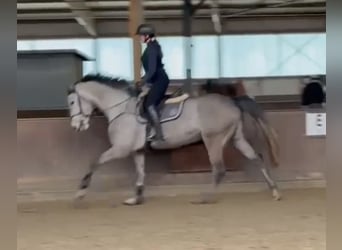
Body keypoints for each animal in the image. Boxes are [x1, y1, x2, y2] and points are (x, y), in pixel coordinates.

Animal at [67, 73, 280, 205]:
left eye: (71, 102)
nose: (76, 126)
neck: (120, 108)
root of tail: (232, 101)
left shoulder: (120, 148)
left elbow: (95, 162)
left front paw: (80, 192)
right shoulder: (137, 150)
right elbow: (140, 173)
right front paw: (136, 199)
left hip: (213, 140)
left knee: (219, 169)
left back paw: (205, 198)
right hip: (236, 138)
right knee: (257, 158)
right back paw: (275, 192)